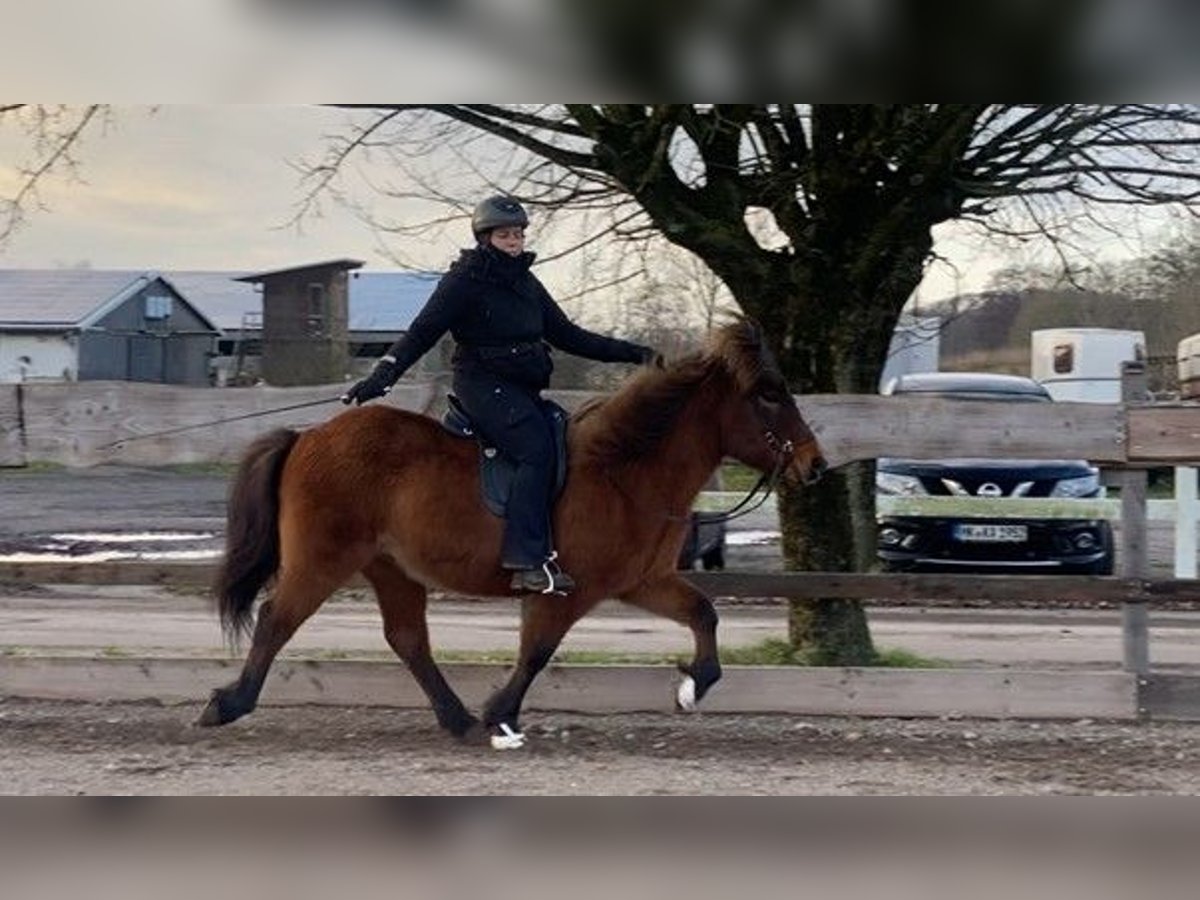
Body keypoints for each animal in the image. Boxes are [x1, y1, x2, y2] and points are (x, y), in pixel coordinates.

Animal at [201, 321, 830, 748]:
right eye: (769, 395)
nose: (816, 466)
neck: (625, 471)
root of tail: (308, 436)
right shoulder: (567, 590)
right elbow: (537, 652)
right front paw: (501, 712)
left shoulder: (642, 581)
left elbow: (704, 613)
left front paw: (693, 684)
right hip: (322, 559)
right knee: (277, 619)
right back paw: (227, 704)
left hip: (392, 567)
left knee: (407, 639)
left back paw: (455, 719)